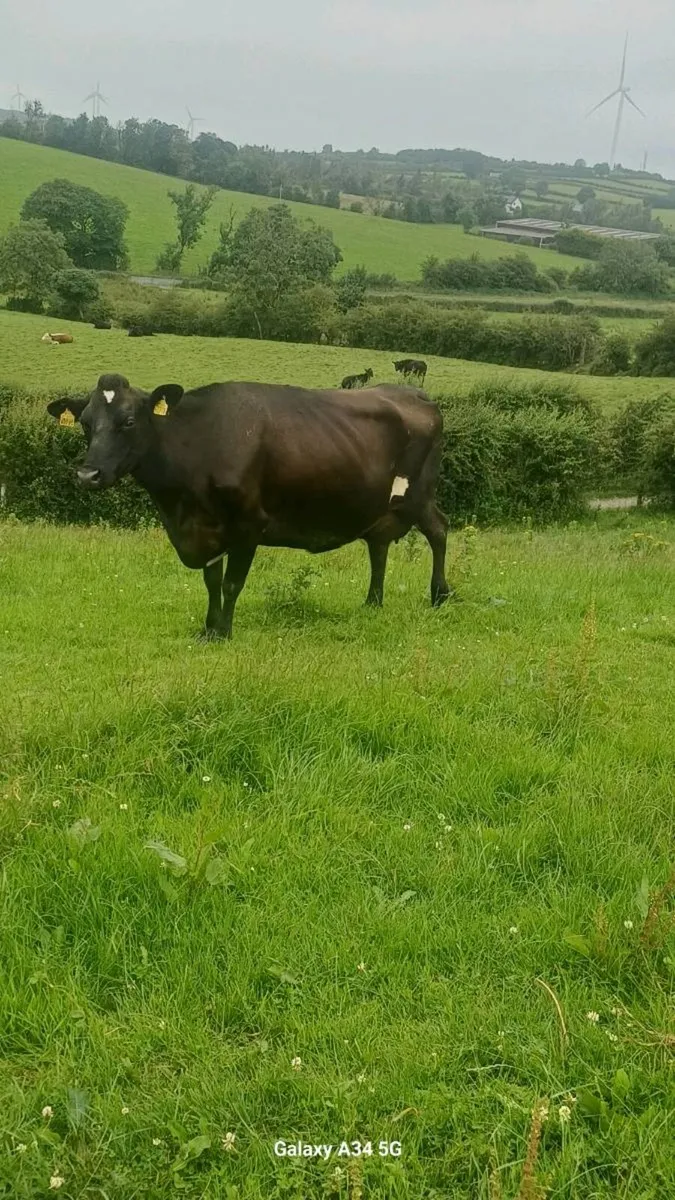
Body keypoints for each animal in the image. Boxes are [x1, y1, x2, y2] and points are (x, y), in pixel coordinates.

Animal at [47, 374, 453, 640]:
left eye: (129, 421)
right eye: (85, 423)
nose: (87, 474)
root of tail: (416, 394)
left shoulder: (248, 524)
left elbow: (231, 582)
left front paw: (225, 631)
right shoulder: (206, 526)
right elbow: (211, 580)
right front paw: (209, 628)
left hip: (419, 494)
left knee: (438, 529)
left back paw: (439, 595)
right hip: (383, 506)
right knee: (378, 545)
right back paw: (372, 602)